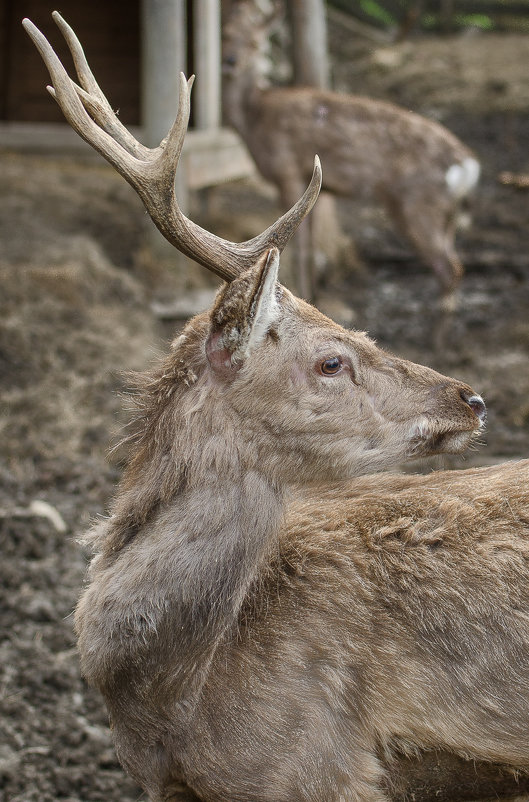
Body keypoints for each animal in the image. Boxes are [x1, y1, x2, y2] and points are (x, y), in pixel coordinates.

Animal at [221, 0, 480, 308]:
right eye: (225, 35)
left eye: (255, 42)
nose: (230, 61)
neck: (254, 118)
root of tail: (468, 164)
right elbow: (312, 243)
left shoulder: (287, 171)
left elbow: (300, 247)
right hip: (443, 213)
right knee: (455, 265)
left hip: (418, 203)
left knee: (449, 269)